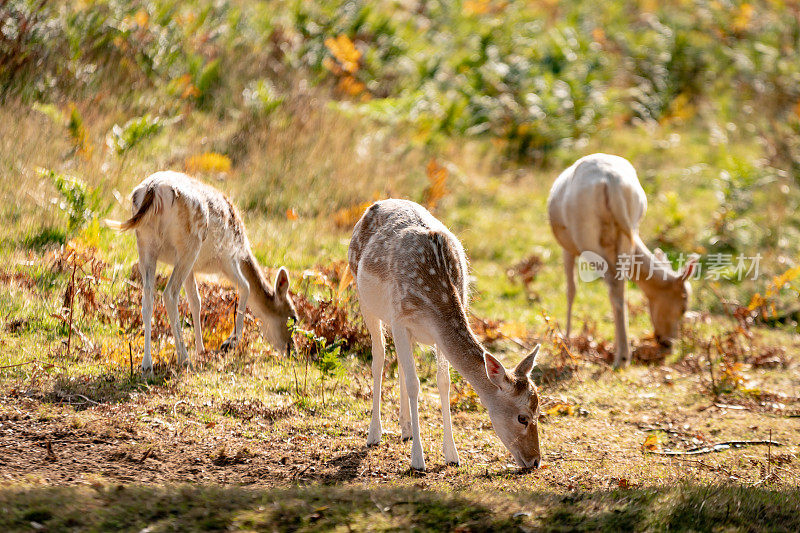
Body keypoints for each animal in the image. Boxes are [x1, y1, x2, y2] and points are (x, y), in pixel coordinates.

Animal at [103, 170, 296, 370]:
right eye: (293, 317)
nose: (293, 351)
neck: (245, 251)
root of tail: (153, 189)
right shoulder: (228, 258)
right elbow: (245, 287)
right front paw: (229, 344)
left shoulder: (191, 269)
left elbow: (196, 301)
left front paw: (201, 350)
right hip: (189, 245)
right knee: (169, 293)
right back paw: (184, 358)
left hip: (146, 244)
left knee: (147, 297)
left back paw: (147, 365)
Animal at [346, 200, 540, 470]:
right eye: (522, 417)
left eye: (539, 411)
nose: (536, 461)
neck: (436, 298)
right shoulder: (399, 319)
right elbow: (415, 383)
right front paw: (418, 460)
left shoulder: (436, 335)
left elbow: (443, 382)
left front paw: (452, 455)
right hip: (364, 297)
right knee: (379, 359)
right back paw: (375, 434)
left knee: (401, 365)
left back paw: (406, 429)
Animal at [548, 153, 696, 366]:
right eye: (684, 307)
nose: (668, 343)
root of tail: (612, 182)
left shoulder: (567, 247)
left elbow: (571, 290)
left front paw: (565, 340)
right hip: (629, 228)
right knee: (620, 285)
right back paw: (622, 353)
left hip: (585, 235)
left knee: (613, 286)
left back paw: (621, 357)